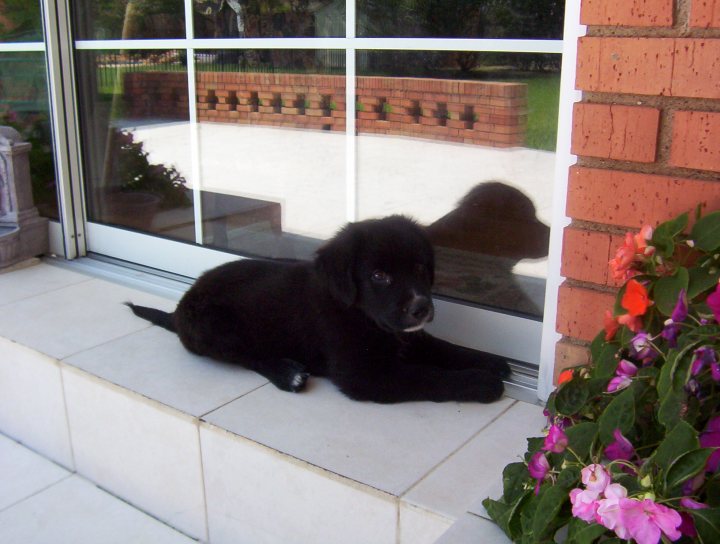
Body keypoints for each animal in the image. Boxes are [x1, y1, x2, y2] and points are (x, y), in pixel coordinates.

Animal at [129, 215, 512, 402]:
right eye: (379, 276)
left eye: (420, 268)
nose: (421, 308)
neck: (358, 313)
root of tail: (181, 305)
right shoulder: (365, 375)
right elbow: (428, 376)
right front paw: (480, 383)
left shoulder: (408, 336)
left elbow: (445, 348)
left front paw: (490, 361)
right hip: (215, 324)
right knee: (246, 356)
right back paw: (288, 373)